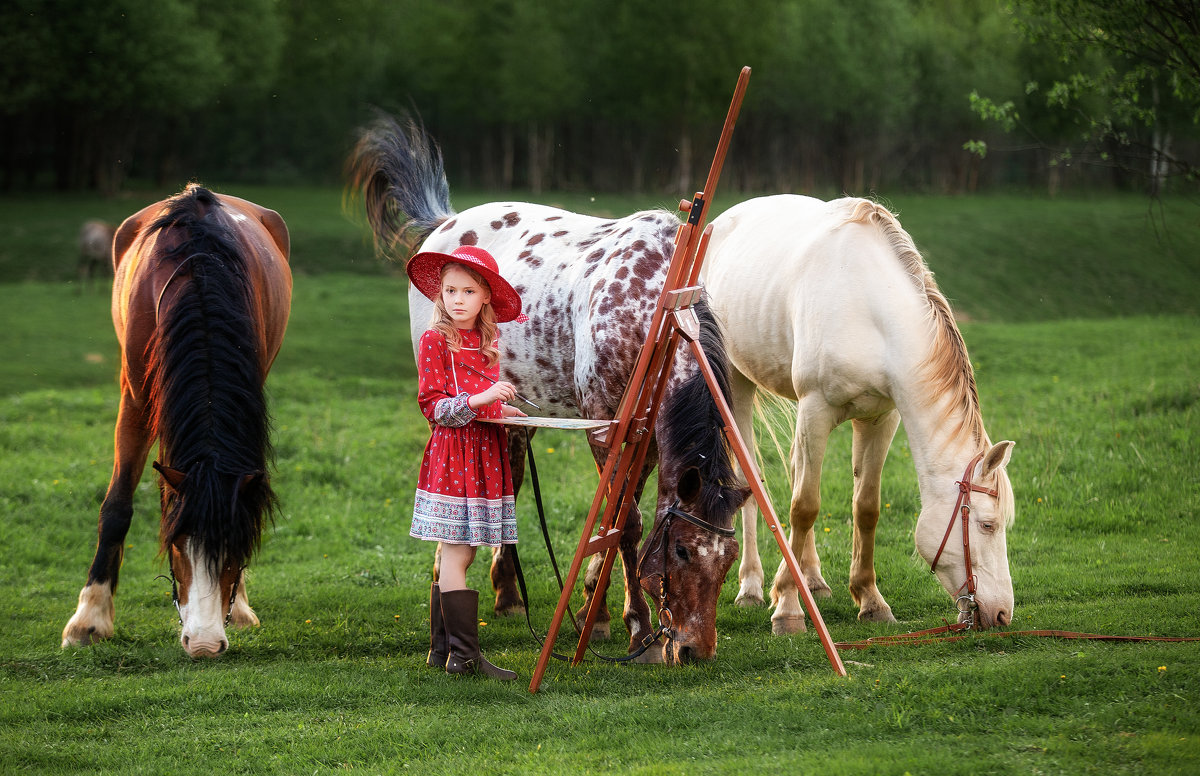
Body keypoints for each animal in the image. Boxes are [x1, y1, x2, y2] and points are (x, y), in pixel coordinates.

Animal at [62, 184, 292, 657]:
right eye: (177, 547)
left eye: (233, 552)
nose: (204, 644)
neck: (200, 279)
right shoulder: (136, 399)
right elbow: (117, 505)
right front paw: (89, 619)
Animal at [343, 115, 748, 666]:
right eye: (682, 550)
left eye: (729, 559)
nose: (694, 650)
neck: (652, 308)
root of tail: (445, 222)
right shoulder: (605, 426)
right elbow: (626, 521)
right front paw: (637, 628)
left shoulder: (642, 435)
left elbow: (613, 517)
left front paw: (597, 611)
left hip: (514, 418)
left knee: (509, 482)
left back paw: (507, 593)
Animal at [700, 194, 1017, 633]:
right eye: (987, 525)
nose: (1002, 613)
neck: (872, 312)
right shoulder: (816, 408)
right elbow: (805, 506)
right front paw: (788, 608)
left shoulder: (880, 419)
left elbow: (865, 507)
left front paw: (870, 599)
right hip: (735, 381)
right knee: (752, 480)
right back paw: (751, 586)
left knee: (798, 470)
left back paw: (812, 579)